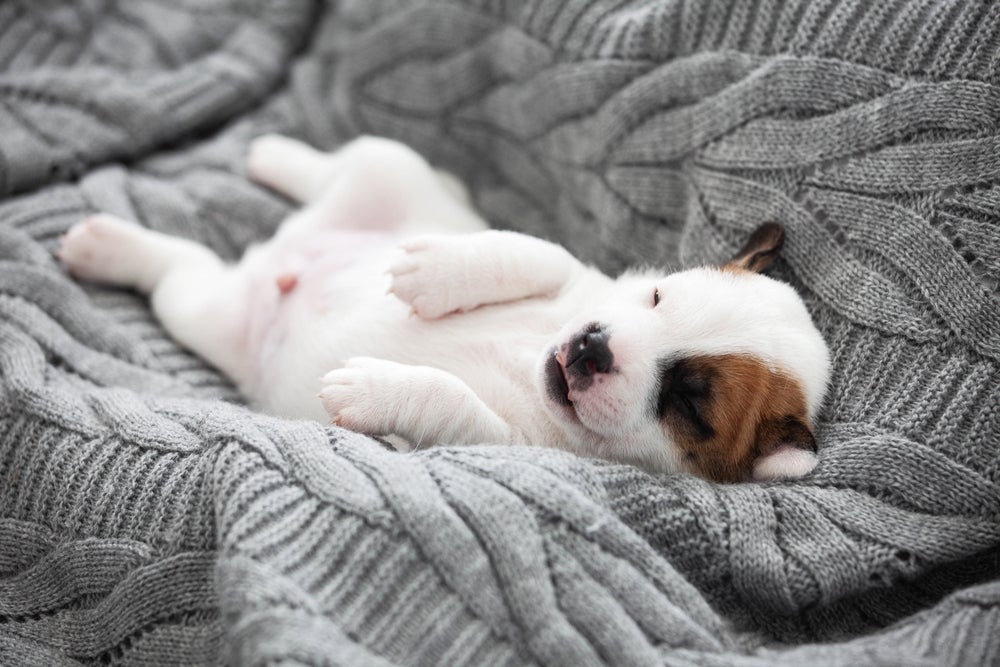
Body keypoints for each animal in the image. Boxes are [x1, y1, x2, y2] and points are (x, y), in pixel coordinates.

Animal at [58, 136, 832, 482]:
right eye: (657, 295)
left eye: (689, 404)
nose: (591, 347)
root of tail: (282, 255)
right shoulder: (574, 278)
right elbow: (530, 251)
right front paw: (439, 269)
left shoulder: (501, 444)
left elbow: (448, 398)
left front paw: (374, 387)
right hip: (388, 165)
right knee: (346, 164)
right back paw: (274, 153)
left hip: (201, 309)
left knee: (177, 269)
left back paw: (104, 245)